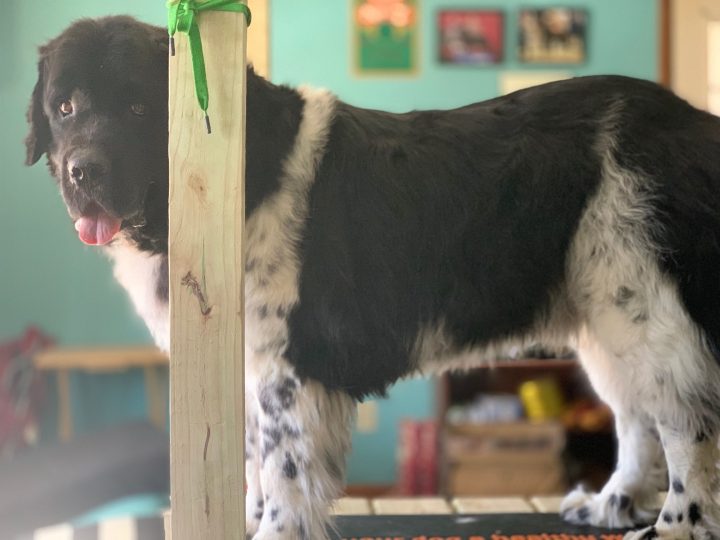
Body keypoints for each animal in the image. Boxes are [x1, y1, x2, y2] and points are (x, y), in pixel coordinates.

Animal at [25, 15, 720, 540]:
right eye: (65, 108)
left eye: (140, 106)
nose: (83, 171)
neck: (240, 176)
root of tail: (693, 121)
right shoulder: (248, 364)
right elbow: (254, 464)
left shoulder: (288, 369)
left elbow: (283, 471)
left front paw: (275, 530)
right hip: (606, 317)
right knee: (636, 418)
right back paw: (610, 503)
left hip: (645, 306)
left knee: (685, 424)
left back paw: (674, 527)